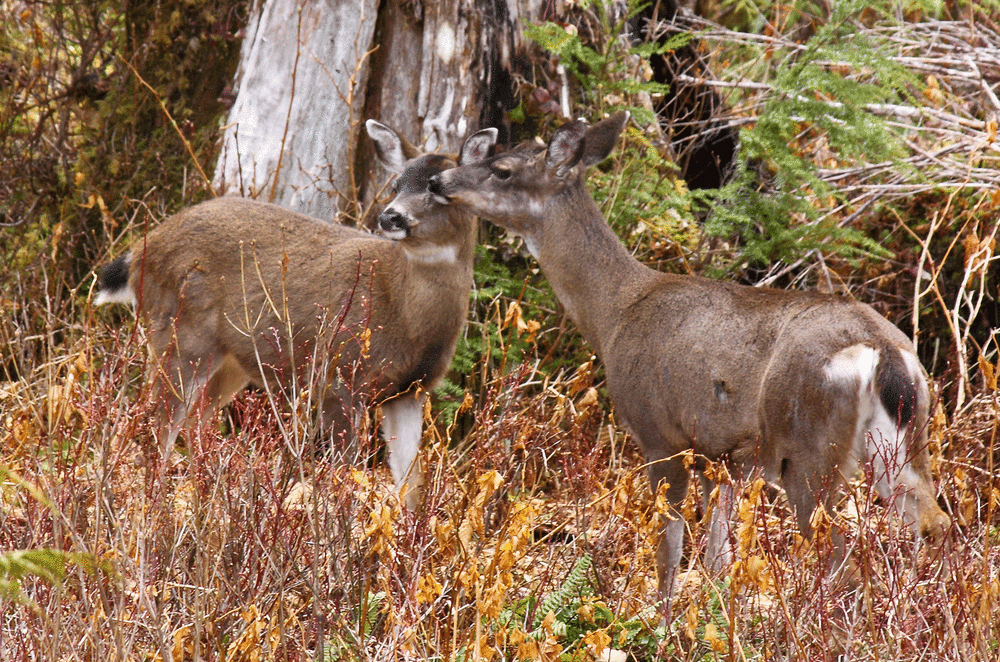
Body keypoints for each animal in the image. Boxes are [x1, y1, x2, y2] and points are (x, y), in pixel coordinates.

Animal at [95, 120, 494, 508]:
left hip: (230, 362)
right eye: (396, 184)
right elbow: (343, 480)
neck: (405, 316)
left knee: (192, 425)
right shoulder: (341, 375)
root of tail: (139, 252)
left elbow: (412, 486)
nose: (390, 217)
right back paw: (153, 511)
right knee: (155, 428)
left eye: (439, 189)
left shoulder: (410, 390)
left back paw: (202, 502)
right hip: (181, 335)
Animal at [428, 113, 944, 600]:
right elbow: (717, 557)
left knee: (843, 562)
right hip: (904, 439)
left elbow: (670, 551)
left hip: (809, 449)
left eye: (502, 169)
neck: (615, 313)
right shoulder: (724, 459)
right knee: (931, 521)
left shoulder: (660, 434)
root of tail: (882, 349)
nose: (438, 182)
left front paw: (659, 623)